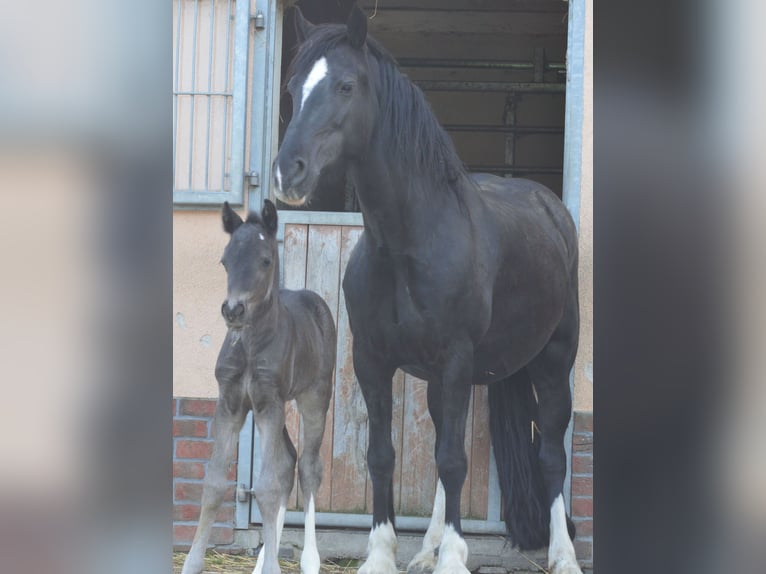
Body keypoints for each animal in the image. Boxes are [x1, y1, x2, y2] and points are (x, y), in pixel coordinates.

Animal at [182, 201, 338, 574]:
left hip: (314, 397)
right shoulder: (232, 404)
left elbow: (266, 487)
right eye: (225, 260)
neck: (250, 346)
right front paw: (192, 563)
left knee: (308, 467)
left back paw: (310, 561)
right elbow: (213, 483)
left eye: (265, 260)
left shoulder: (269, 403)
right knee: (288, 463)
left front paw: (274, 567)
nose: (233, 310)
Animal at [276, 7, 584, 574]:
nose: (289, 172)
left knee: (551, 454)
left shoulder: (457, 360)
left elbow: (454, 460)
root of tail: (548, 205)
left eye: (346, 85)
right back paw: (426, 549)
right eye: (292, 87)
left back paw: (563, 556)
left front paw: (455, 558)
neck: (408, 243)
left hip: (554, 362)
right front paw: (384, 554)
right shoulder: (372, 360)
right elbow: (383, 456)